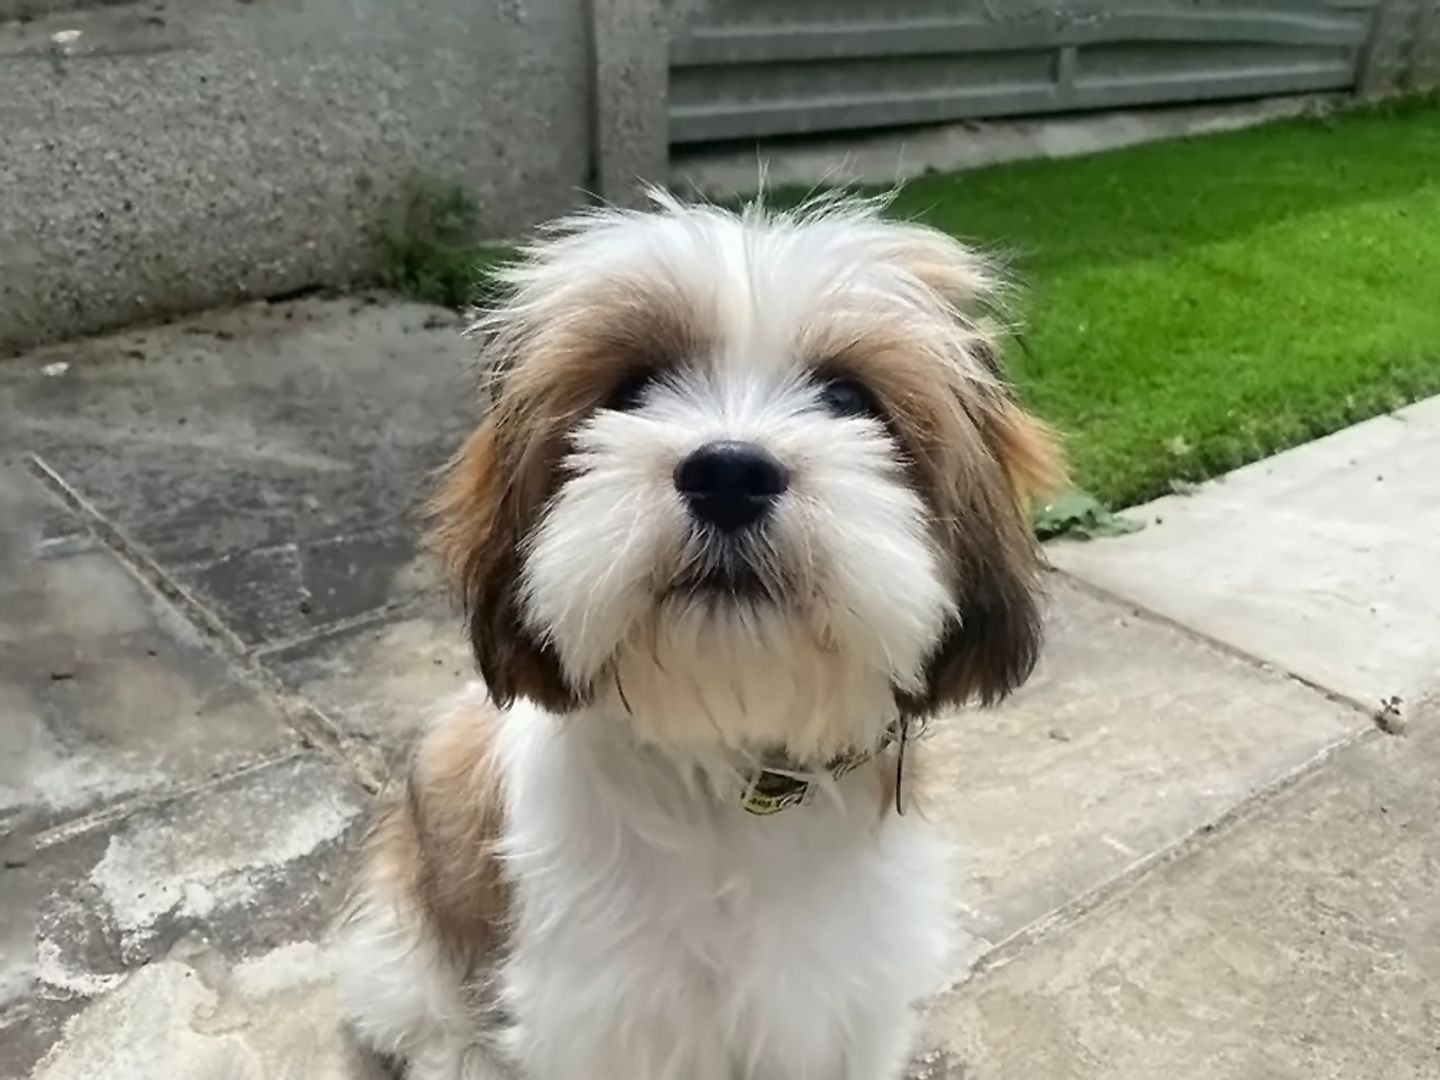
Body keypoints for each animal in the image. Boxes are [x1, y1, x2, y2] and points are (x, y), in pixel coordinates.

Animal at [334, 194, 1059, 1080]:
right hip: (407, 935)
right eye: (634, 387)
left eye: (848, 398)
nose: (730, 473)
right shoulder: (603, 1017)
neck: (730, 771)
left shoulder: (841, 1005)